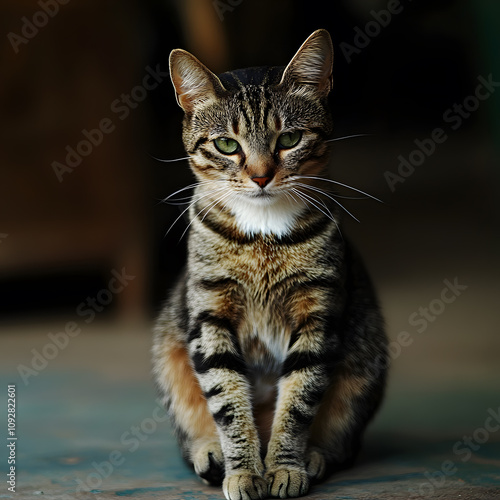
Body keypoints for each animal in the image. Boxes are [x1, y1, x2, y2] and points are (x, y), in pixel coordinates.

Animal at [152, 28, 386, 500]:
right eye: (226, 144)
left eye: (289, 140)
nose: (261, 176)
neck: (261, 233)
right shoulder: (210, 314)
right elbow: (227, 400)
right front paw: (244, 471)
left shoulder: (317, 316)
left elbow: (297, 400)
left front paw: (284, 467)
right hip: (168, 350)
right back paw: (211, 453)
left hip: (364, 363)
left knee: (342, 440)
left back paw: (314, 456)